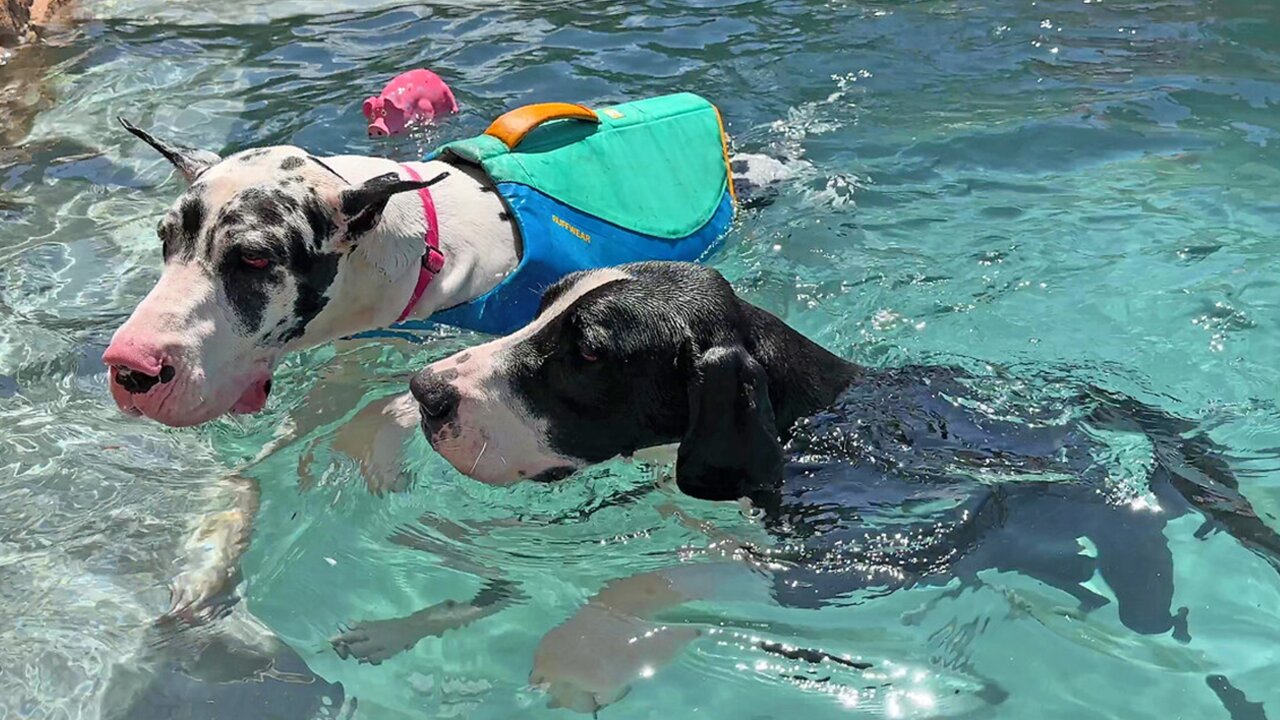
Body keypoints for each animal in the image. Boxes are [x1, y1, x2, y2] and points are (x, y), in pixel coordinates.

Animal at [409, 258, 1280, 712]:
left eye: (588, 354)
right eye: (541, 306)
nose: (424, 392)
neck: (808, 415)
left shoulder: (849, 563)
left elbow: (671, 577)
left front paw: (583, 650)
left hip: (1134, 558)